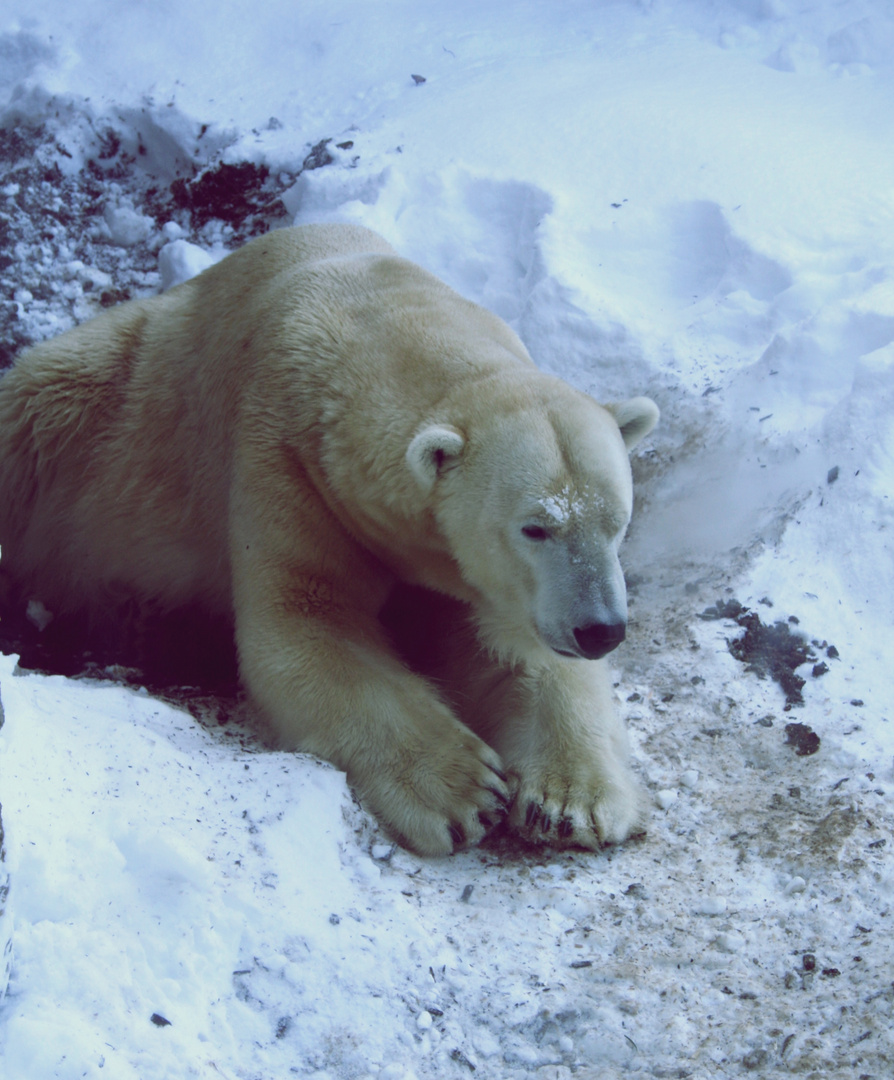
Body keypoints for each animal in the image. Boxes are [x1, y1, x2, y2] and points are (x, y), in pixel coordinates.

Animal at [0, 223, 656, 855]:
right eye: (534, 527)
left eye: (618, 521)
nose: (600, 630)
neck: (379, 312)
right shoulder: (286, 462)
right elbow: (306, 624)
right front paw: (462, 792)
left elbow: (515, 645)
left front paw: (570, 801)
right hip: (92, 408)